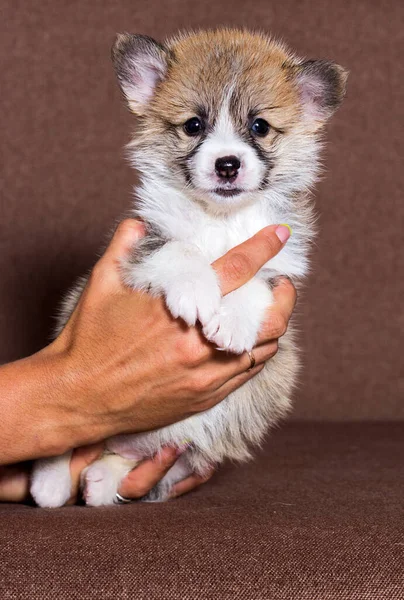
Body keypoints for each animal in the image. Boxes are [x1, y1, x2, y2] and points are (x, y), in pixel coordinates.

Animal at [31, 28, 348, 506]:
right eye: (193, 125)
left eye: (260, 126)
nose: (227, 164)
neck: (219, 219)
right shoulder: (145, 240)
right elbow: (180, 250)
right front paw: (198, 292)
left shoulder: (279, 266)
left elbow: (254, 283)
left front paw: (231, 322)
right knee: (67, 435)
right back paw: (49, 481)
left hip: (184, 447)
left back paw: (101, 480)